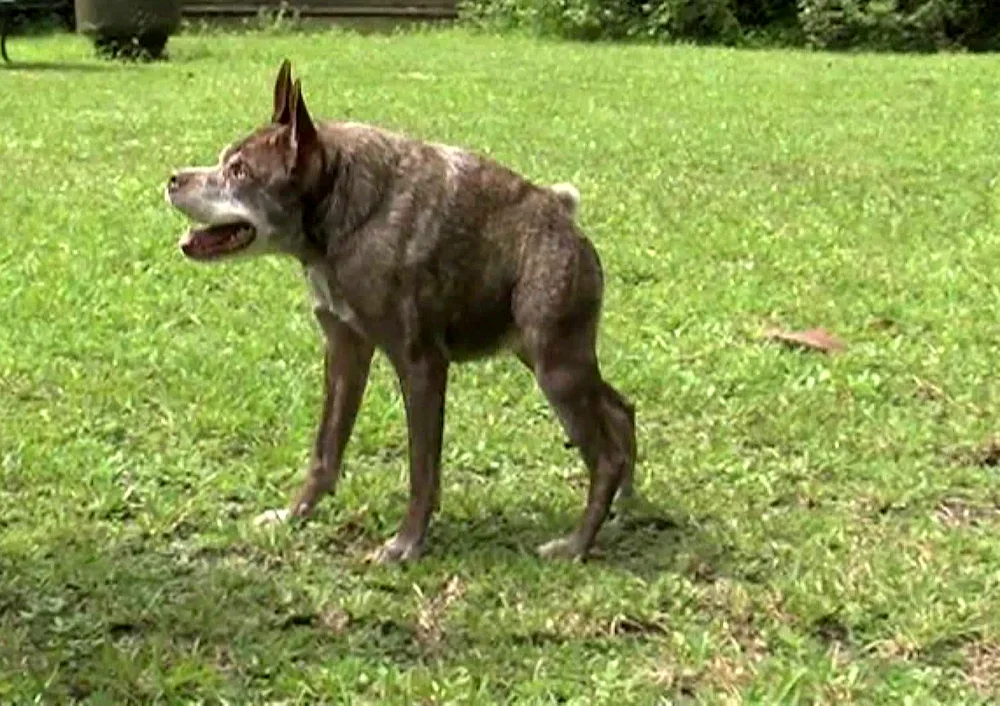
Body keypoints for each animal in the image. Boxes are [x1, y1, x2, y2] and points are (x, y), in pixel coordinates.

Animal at [161, 60, 636, 564]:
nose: (173, 179)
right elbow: (325, 450)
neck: (339, 208)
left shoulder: (421, 364)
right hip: (549, 355)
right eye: (223, 161)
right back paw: (624, 509)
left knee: (605, 456)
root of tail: (565, 218)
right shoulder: (345, 351)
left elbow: (422, 469)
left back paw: (575, 545)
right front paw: (293, 515)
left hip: (555, 368)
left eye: (239, 171)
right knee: (621, 411)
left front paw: (405, 544)